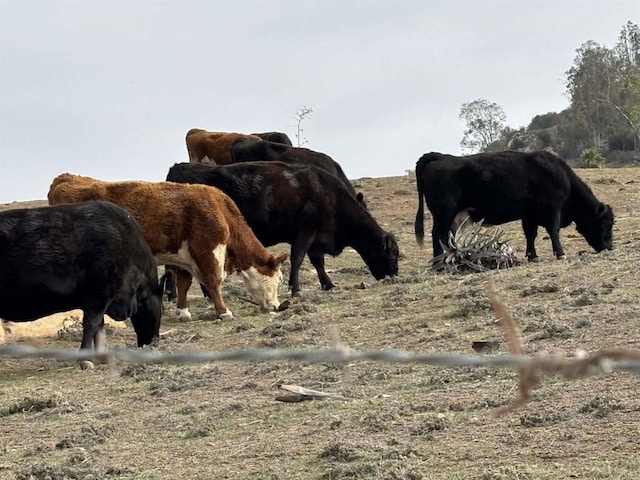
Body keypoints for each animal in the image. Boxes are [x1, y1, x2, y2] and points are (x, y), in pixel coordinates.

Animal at [48, 174, 288, 320]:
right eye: (278, 278)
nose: (278, 306)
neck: (221, 211)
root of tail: (66, 178)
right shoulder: (207, 250)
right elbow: (214, 282)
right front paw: (224, 312)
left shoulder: (183, 255)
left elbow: (184, 283)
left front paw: (183, 312)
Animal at [165, 162, 398, 292]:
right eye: (393, 254)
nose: (394, 275)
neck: (329, 195)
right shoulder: (304, 233)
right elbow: (298, 259)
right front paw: (295, 289)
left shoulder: (315, 239)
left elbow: (318, 262)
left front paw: (328, 285)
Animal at [416, 151, 616, 260]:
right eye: (606, 224)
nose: (610, 247)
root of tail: (440, 157)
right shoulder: (553, 208)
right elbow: (553, 230)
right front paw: (560, 253)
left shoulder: (529, 214)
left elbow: (530, 234)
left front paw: (532, 255)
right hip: (444, 213)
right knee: (437, 234)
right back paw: (437, 262)